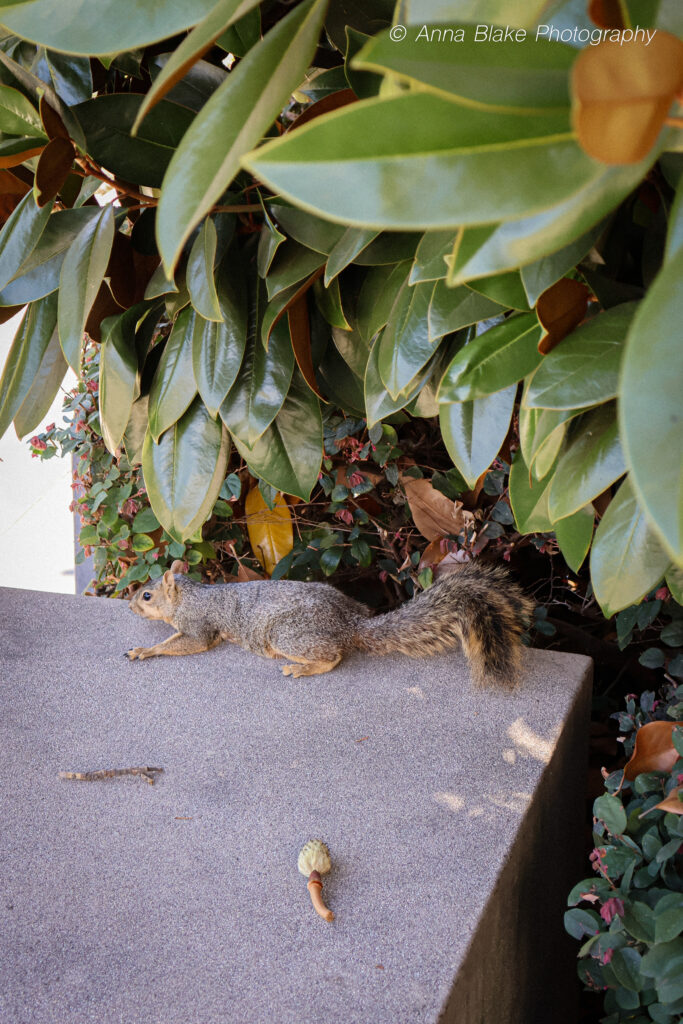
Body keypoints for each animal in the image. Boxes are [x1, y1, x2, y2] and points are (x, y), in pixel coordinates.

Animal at [126, 560, 534, 688]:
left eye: (146, 596)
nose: (129, 605)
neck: (190, 595)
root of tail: (348, 623)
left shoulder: (199, 625)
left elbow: (188, 642)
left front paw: (145, 650)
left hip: (287, 635)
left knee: (333, 656)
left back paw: (301, 668)